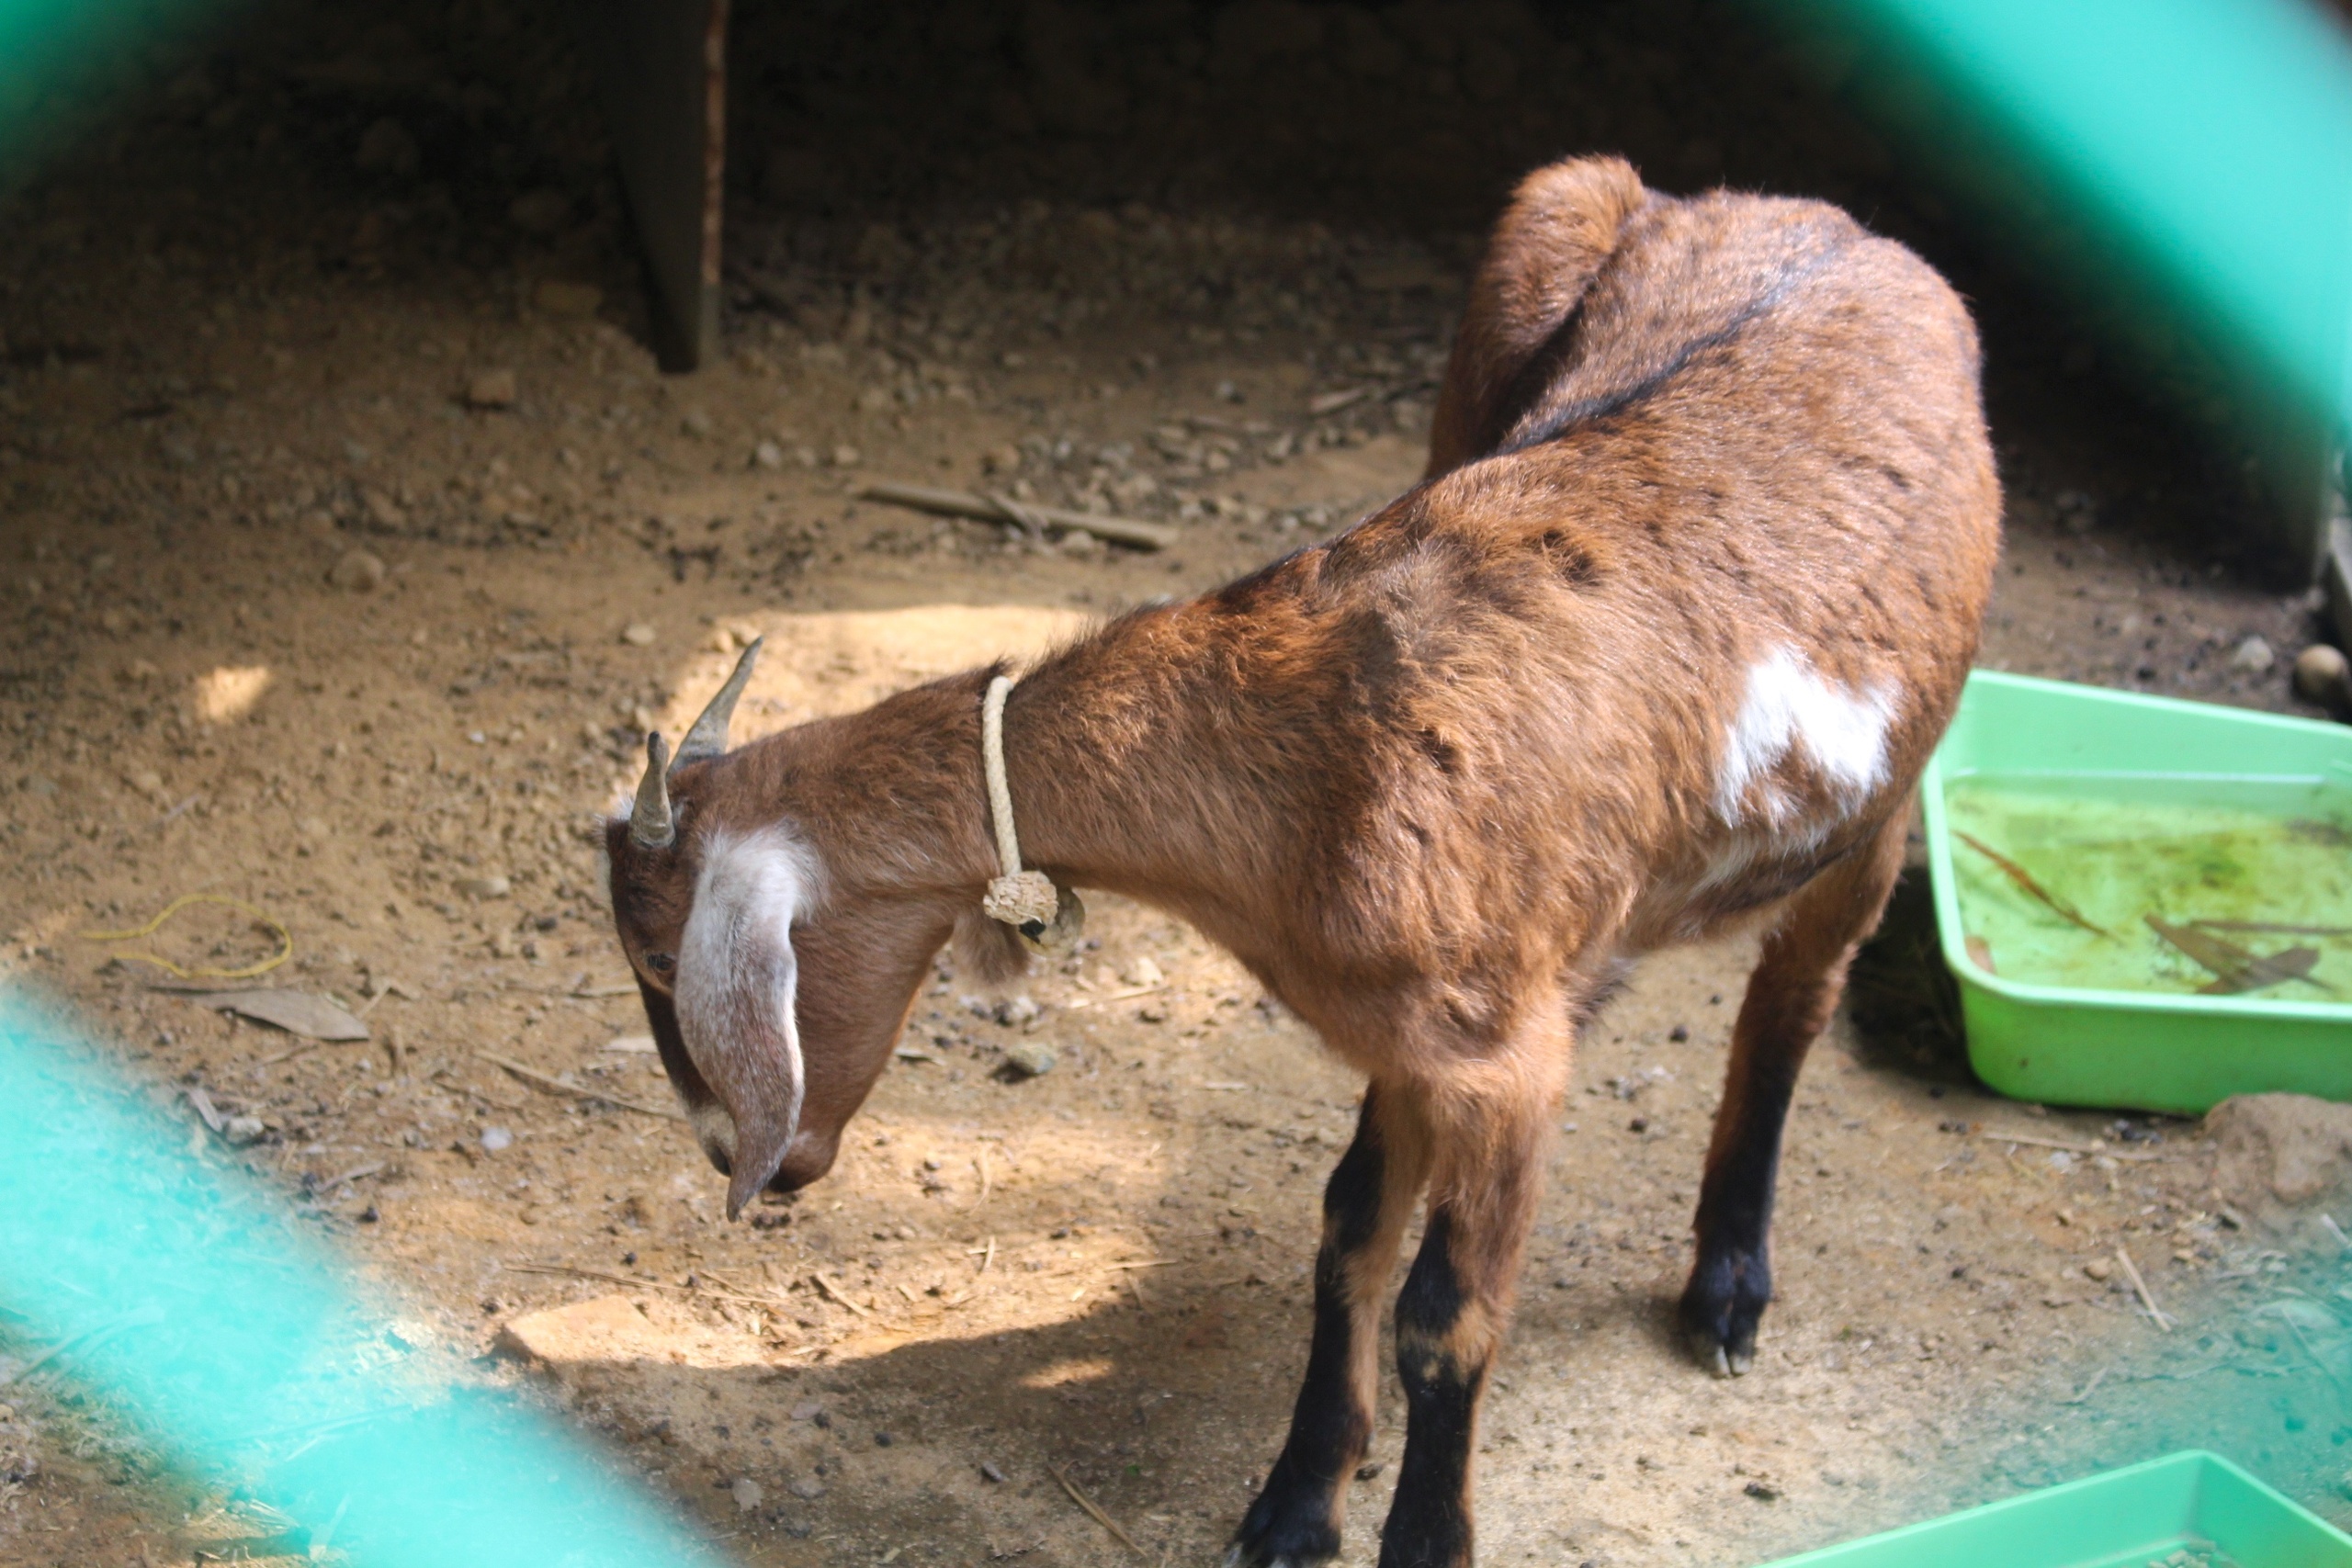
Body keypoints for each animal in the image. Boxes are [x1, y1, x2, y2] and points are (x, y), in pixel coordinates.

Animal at [611, 162, 2004, 1568]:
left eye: (668, 959)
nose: (736, 1153)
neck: (1314, 747)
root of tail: (1835, 223)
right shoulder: (1412, 1033)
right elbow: (1350, 1228)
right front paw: (1294, 1502)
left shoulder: (1504, 1066)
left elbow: (1447, 1311)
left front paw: (1426, 1536)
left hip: (1884, 803)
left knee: (1793, 1001)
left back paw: (1727, 1286)